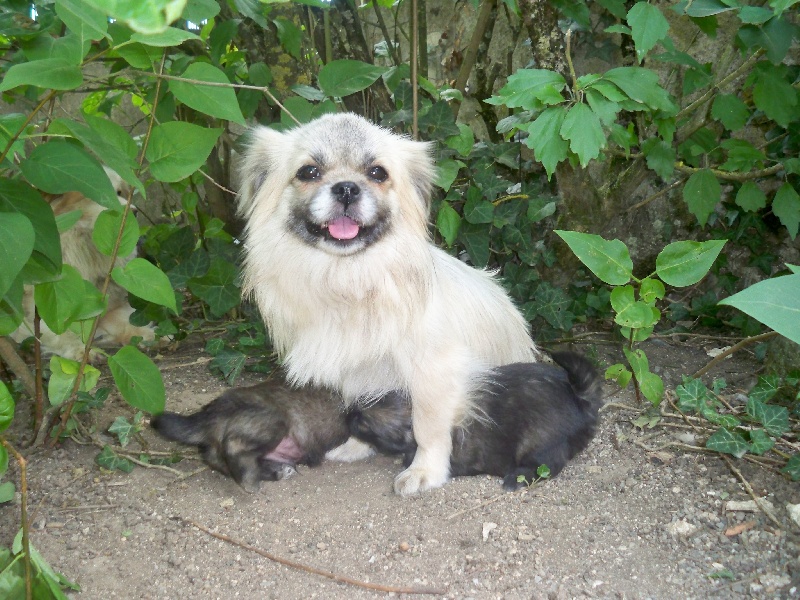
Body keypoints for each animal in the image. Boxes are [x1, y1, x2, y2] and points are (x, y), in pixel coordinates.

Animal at [151, 380, 350, 492]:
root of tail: (210, 413)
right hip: (272, 421)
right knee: (233, 447)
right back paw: (251, 481)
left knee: (217, 459)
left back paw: (277, 471)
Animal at [238, 115, 536, 494]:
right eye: (308, 172)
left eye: (377, 173)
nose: (346, 189)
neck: (349, 280)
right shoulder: (356, 370)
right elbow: (356, 410)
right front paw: (356, 446)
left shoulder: (434, 370)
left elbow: (429, 428)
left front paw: (425, 471)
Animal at [346, 354, 604, 490]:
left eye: (364, 423)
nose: (347, 415)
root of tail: (580, 398)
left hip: (539, 440)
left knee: (548, 466)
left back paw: (516, 478)